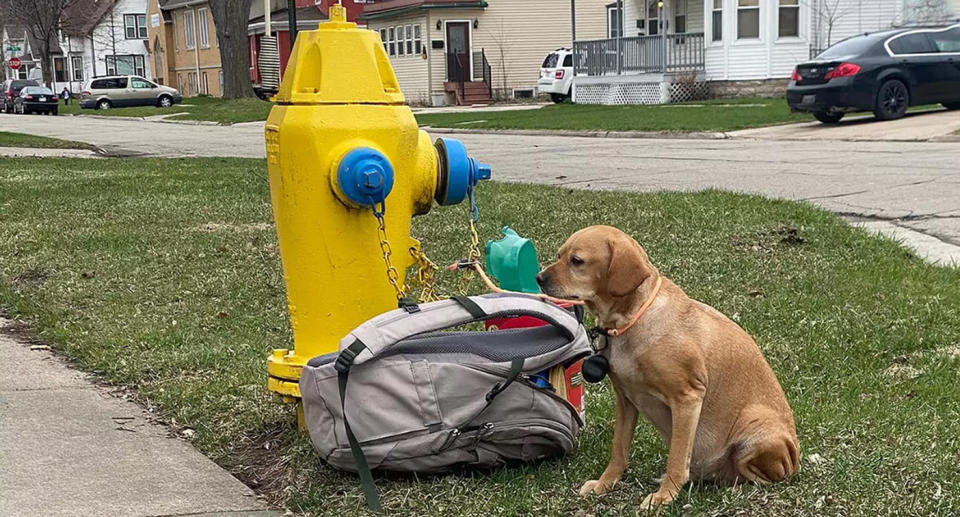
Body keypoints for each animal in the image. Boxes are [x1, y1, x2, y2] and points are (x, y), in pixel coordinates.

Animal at [536, 225, 800, 508]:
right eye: (560, 255)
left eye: (577, 261)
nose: (539, 278)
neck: (631, 319)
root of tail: (795, 458)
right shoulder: (626, 400)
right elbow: (619, 450)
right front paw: (605, 484)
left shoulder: (687, 398)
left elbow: (676, 457)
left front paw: (664, 495)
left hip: (756, 429)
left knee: (762, 476)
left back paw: (735, 488)